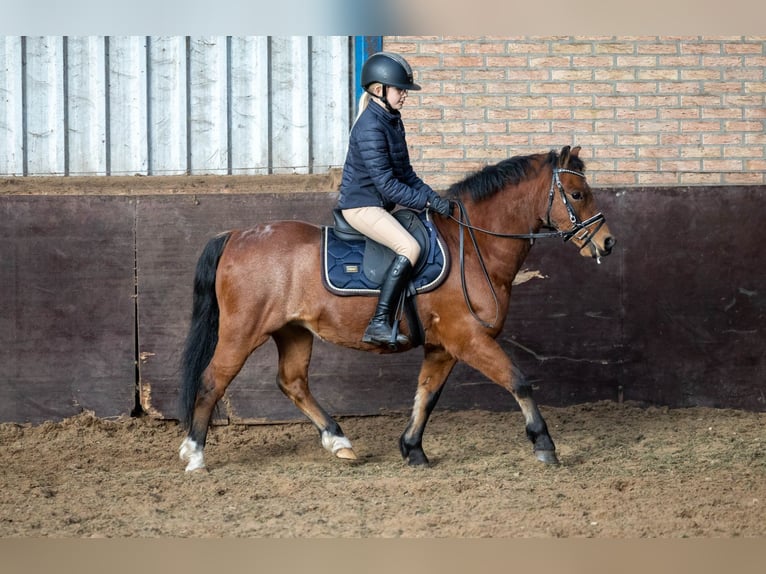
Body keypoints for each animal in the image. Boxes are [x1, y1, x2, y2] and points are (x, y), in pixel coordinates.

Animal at [178, 145, 615, 472]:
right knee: (212, 380)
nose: (607, 243)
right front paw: (544, 444)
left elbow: (426, 395)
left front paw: (413, 449)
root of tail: (235, 235)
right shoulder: (468, 338)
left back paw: (339, 442)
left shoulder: (443, 346)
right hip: (242, 332)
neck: (472, 247)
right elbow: (518, 381)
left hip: (294, 331)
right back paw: (195, 454)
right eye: (577, 194)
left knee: (293, 382)